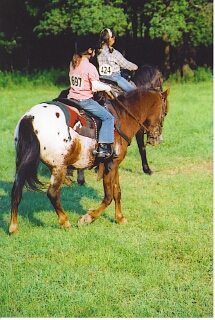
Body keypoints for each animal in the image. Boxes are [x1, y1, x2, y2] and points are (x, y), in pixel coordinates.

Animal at [9, 86, 170, 234]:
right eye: (165, 113)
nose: (157, 139)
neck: (122, 117)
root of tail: (30, 118)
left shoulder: (114, 164)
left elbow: (117, 192)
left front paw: (120, 218)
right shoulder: (110, 165)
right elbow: (108, 196)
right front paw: (87, 218)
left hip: (21, 162)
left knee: (16, 191)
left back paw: (13, 227)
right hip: (59, 167)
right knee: (52, 193)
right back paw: (65, 221)